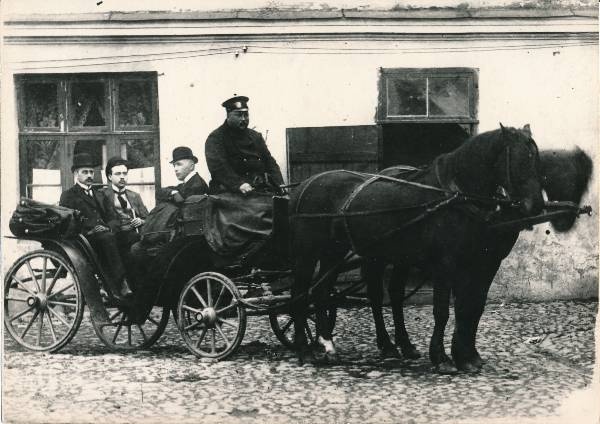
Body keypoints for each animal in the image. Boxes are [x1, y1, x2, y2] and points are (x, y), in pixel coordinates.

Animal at [288, 124, 548, 370]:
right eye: (520, 160)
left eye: (537, 159)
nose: (537, 206)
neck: (454, 195)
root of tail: (304, 186)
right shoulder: (446, 264)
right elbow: (443, 311)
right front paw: (442, 358)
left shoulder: (477, 262)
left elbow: (471, 307)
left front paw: (467, 356)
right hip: (307, 254)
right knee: (300, 293)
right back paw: (305, 349)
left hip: (340, 252)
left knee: (326, 292)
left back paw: (332, 345)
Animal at [368, 142, 592, 372]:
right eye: (566, 178)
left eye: (583, 183)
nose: (566, 221)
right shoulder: (457, 262)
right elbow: (455, 306)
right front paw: (451, 356)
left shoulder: (488, 261)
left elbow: (472, 305)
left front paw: (465, 354)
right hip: (375, 257)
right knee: (376, 296)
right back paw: (387, 346)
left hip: (401, 257)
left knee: (395, 293)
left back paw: (405, 345)